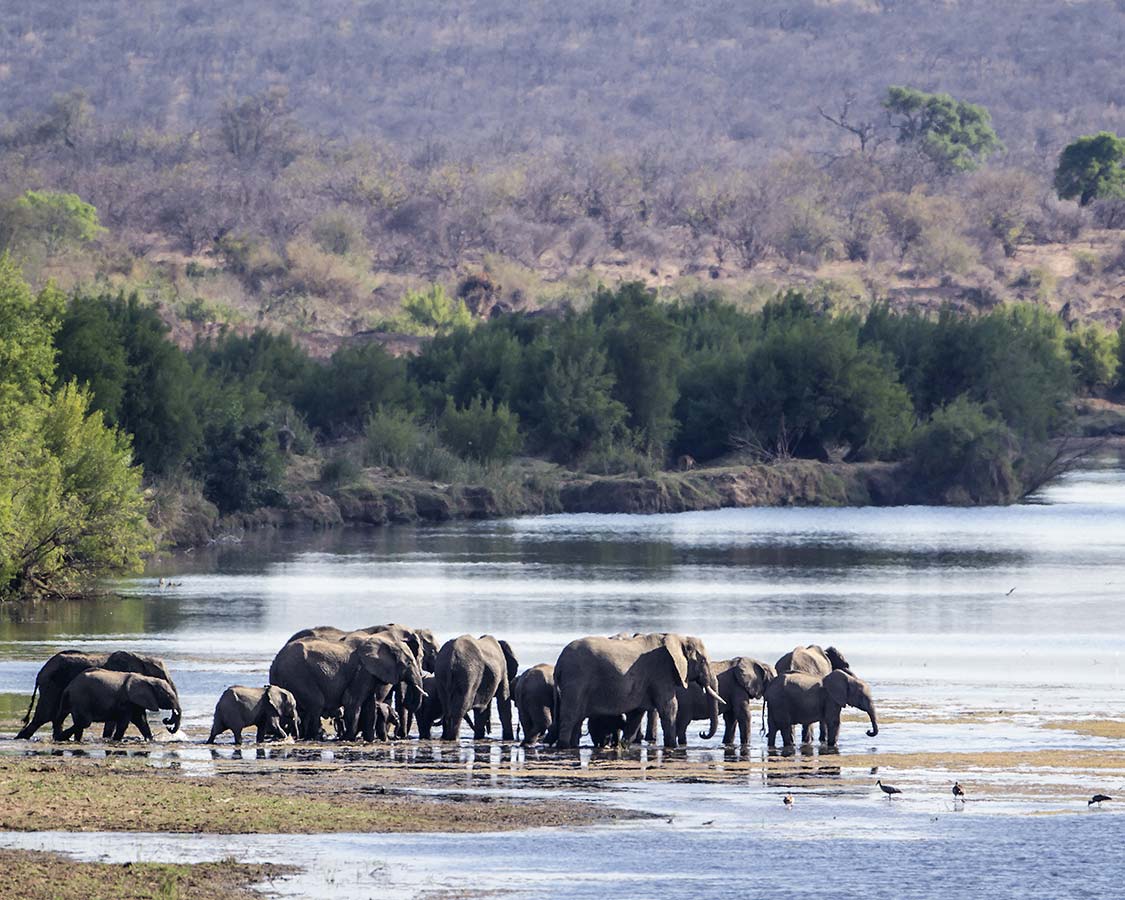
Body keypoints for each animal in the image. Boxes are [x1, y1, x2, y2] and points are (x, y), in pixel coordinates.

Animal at [52, 670, 180, 742]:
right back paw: (61, 738)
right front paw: (116, 740)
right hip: (81, 699)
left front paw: (150, 740)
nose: (168, 724)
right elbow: (124, 723)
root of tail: (69, 687)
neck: (147, 679)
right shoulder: (126, 702)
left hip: (71, 699)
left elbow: (141, 721)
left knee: (61, 717)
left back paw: (63, 738)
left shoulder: (135, 701)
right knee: (84, 722)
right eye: (168, 695)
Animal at [270, 630, 423, 742]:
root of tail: (275, 663)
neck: (384, 641)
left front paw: (369, 740)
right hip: (298, 675)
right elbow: (352, 701)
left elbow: (369, 705)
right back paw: (315, 737)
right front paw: (348, 738)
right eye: (409, 662)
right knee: (316, 705)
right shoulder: (362, 671)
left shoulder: (370, 673)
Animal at [551, 634, 720, 751]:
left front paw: (622, 745)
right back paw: (564, 746)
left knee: (577, 719)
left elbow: (637, 713)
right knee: (570, 716)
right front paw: (673, 746)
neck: (678, 637)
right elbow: (669, 707)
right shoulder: (661, 673)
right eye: (703, 661)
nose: (702, 733)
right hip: (576, 680)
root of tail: (559, 664)